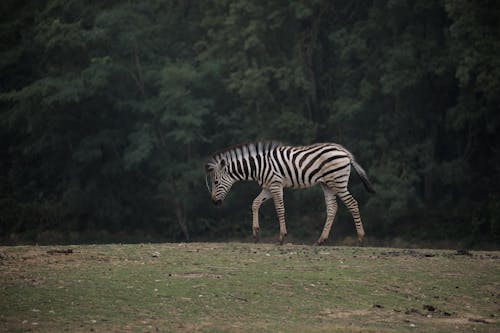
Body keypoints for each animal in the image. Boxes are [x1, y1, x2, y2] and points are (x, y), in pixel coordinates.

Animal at [204, 140, 376, 244]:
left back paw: (361, 237)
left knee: (352, 203)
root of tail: (344, 151)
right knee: (333, 208)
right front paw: (256, 231)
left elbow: (280, 209)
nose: (214, 202)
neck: (257, 167)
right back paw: (321, 239)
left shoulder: (275, 184)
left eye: (216, 182)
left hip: (338, 182)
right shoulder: (268, 187)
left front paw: (281, 236)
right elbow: (255, 203)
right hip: (327, 184)